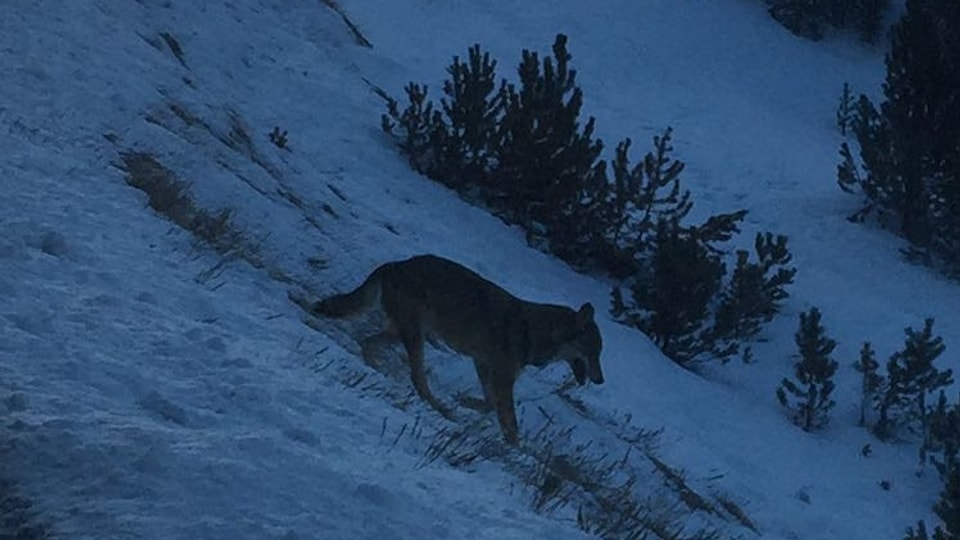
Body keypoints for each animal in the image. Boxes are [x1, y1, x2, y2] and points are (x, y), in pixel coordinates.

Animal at [312, 253, 604, 442]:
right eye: (594, 353)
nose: (601, 380)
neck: (532, 331)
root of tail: (398, 263)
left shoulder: (484, 366)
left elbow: (489, 404)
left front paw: (466, 402)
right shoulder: (501, 377)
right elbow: (509, 422)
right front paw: (513, 448)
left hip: (409, 333)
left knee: (368, 342)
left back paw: (374, 366)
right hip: (417, 338)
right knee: (418, 379)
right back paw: (439, 407)